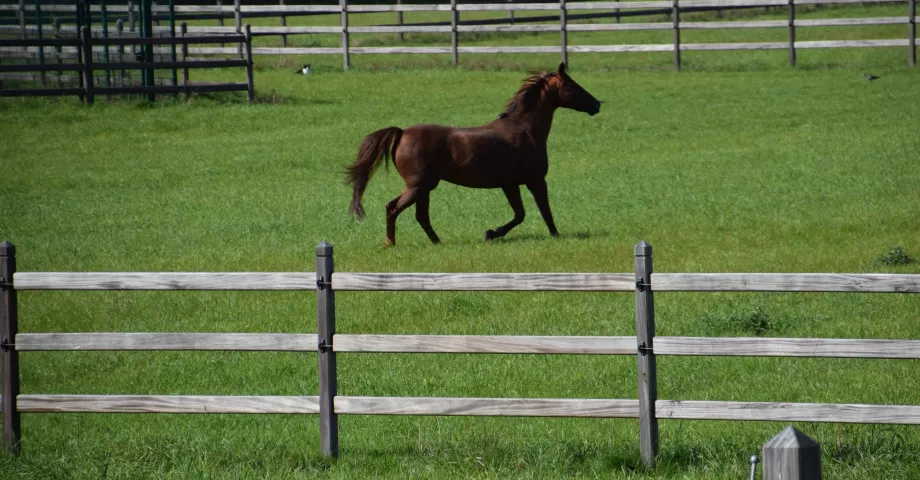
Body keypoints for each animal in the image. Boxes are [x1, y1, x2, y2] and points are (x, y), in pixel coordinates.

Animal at [346, 62, 601, 246]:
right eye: (572, 85)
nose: (597, 104)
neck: (524, 129)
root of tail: (402, 133)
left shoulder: (510, 184)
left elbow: (522, 213)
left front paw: (491, 233)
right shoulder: (533, 180)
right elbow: (540, 210)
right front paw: (553, 235)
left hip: (424, 187)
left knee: (419, 215)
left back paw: (437, 242)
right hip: (417, 186)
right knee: (394, 208)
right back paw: (391, 243)